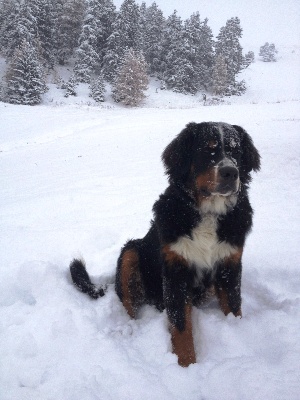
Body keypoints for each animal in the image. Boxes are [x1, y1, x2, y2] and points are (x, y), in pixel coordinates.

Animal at [69, 121, 260, 366]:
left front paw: (235, 332)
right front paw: (187, 365)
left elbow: (233, 307)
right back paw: (128, 330)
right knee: (127, 304)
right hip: (130, 251)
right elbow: (180, 324)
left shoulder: (230, 264)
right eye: (208, 149)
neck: (208, 213)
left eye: (236, 151)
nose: (230, 172)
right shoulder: (175, 269)